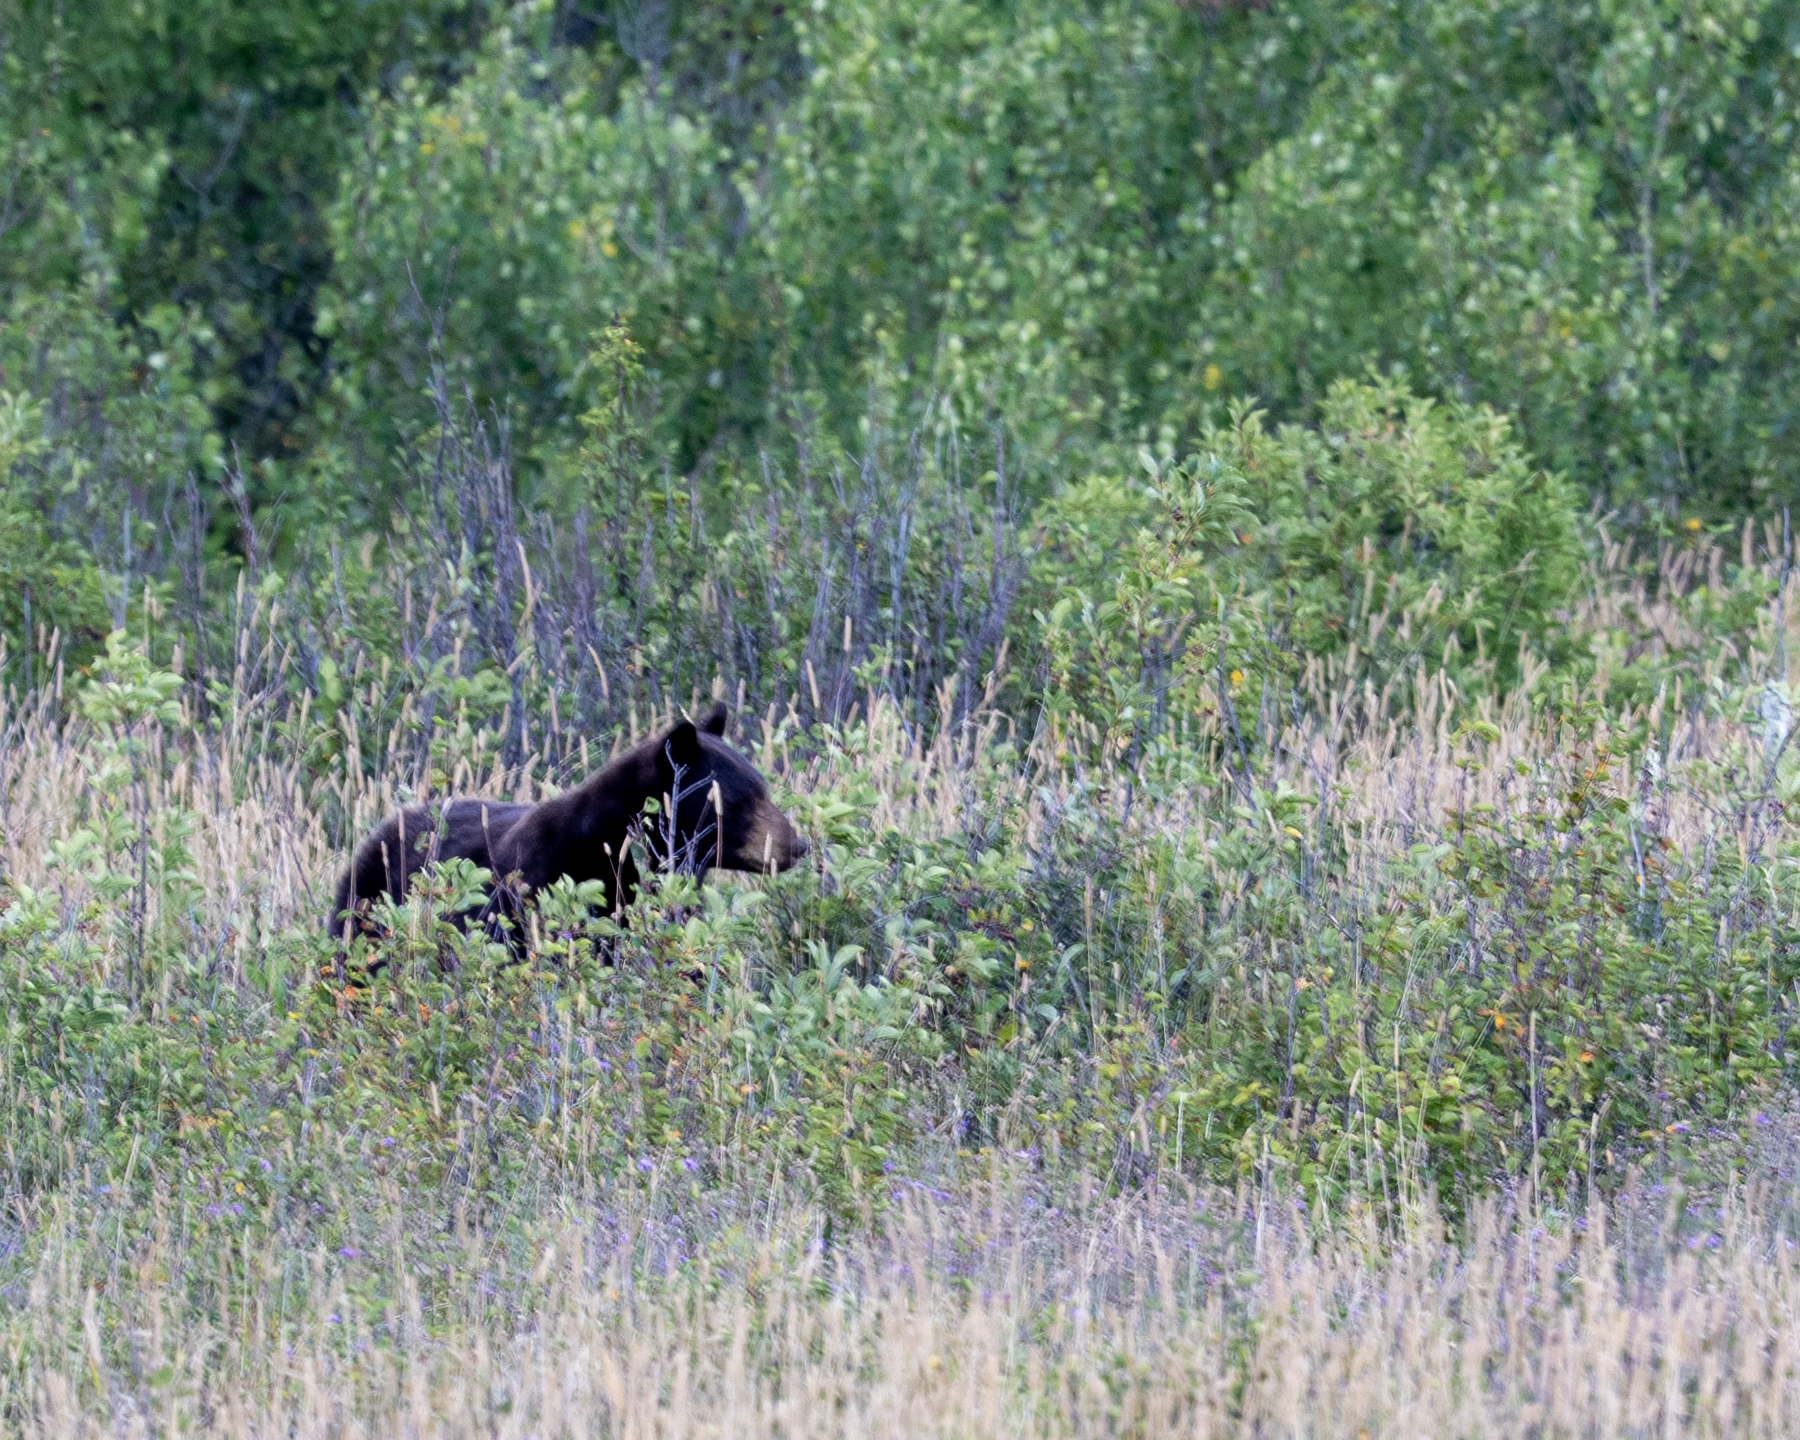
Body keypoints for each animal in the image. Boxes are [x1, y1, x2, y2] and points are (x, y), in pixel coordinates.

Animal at [329, 702, 808, 946]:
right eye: (743, 799)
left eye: (764, 787)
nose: (798, 845)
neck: (612, 843)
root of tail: (380, 828)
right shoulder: (545, 883)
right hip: (364, 906)